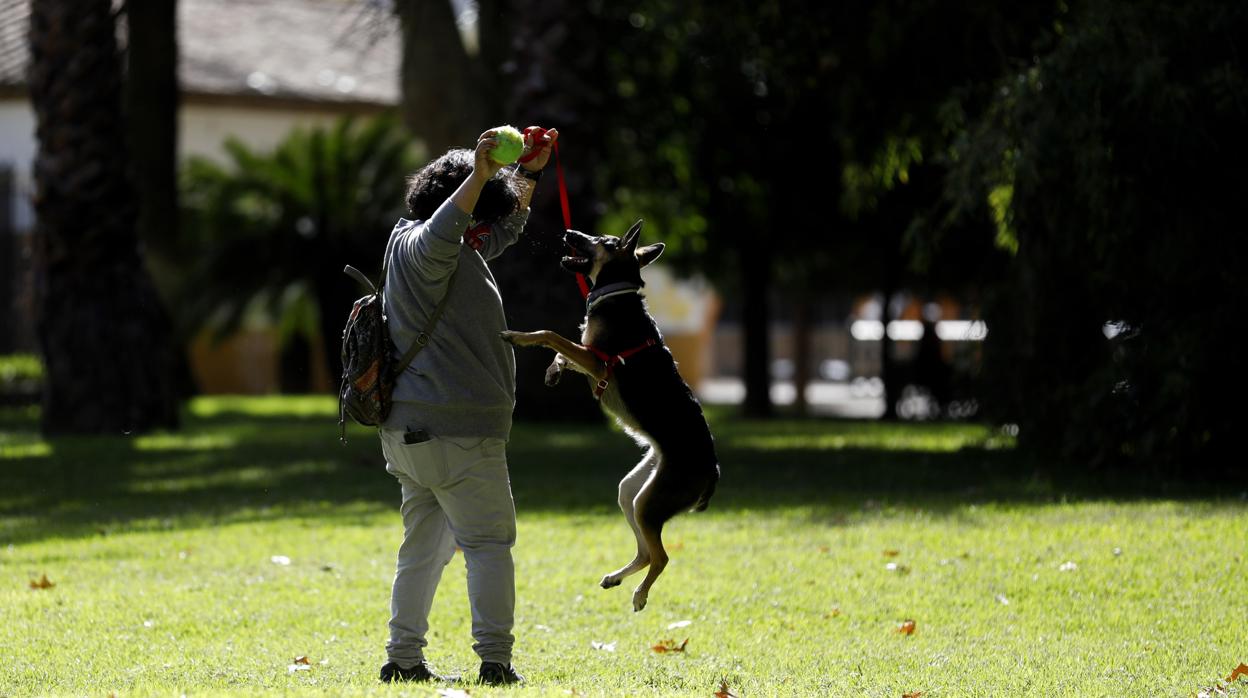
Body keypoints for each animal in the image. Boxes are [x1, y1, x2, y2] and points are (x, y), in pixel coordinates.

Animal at [499, 221, 718, 614]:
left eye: (601, 241)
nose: (569, 232)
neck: (616, 294)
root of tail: (714, 472)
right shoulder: (588, 358)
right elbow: (563, 350)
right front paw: (553, 371)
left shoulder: (597, 361)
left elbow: (550, 335)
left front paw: (519, 337)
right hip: (634, 490)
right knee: (646, 551)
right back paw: (616, 578)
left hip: (652, 501)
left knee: (661, 557)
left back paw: (640, 594)